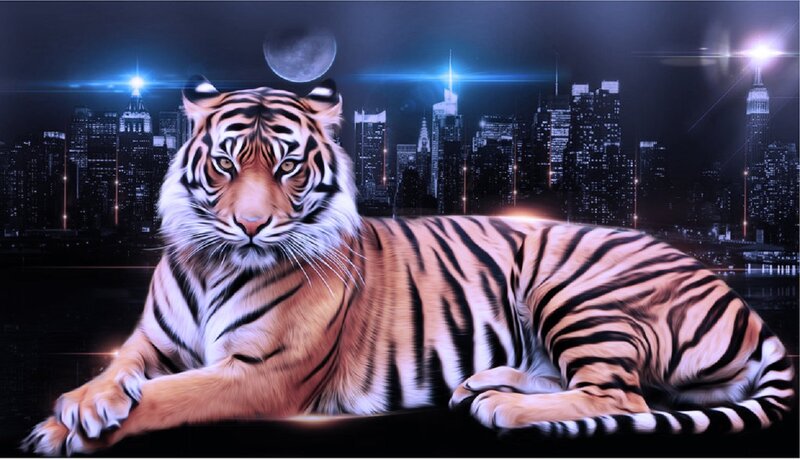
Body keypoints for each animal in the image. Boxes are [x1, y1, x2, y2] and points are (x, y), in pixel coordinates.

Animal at [23, 77, 795, 456]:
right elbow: (120, 371)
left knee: (623, 398)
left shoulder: (263, 373)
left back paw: (506, 407)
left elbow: (168, 397)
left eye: (288, 167)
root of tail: (736, 297)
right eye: (225, 164)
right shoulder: (150, 342)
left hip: (576, 287)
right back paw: (484, 385)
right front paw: (80, 405)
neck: (215, 262)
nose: (251, 225)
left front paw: (68, 427)